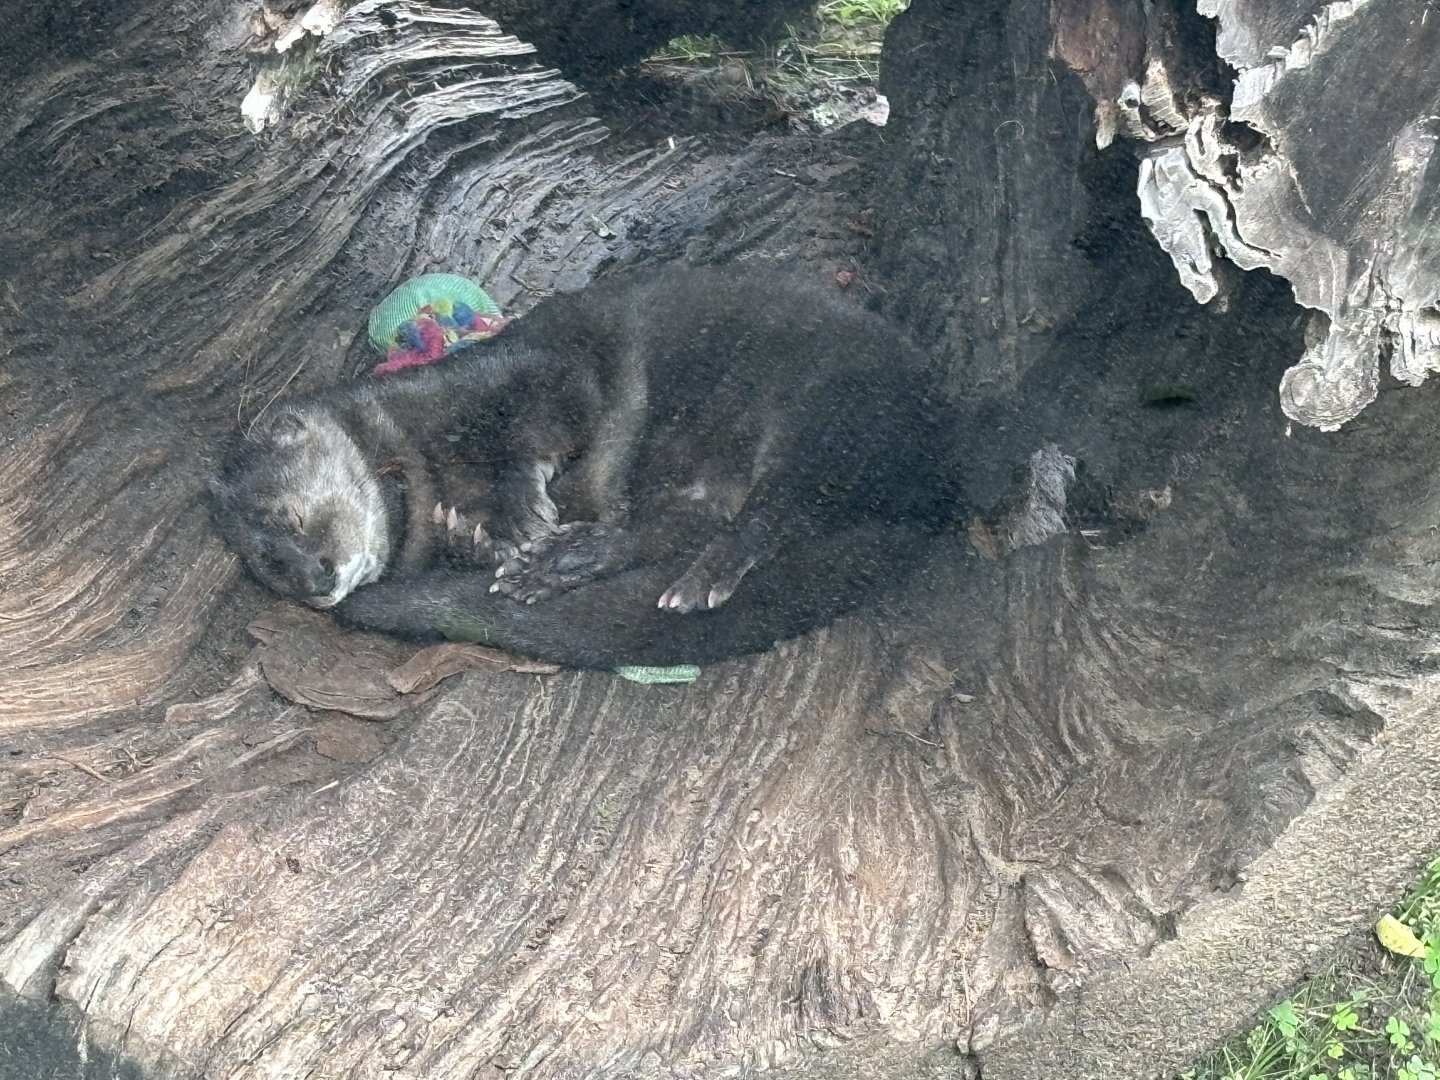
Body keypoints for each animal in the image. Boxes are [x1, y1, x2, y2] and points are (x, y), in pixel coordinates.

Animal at [209, 264, 964, 666]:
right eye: (270, 566)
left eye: (292, 519)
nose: (315, 579)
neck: (421, 455)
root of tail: (938, 476)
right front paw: (484, 537)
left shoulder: (526, 372)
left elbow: (542, 422)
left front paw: (516, 509)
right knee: (681, 526)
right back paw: (572, 562)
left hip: (835, 412)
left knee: (779, 513)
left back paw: (684, 577)